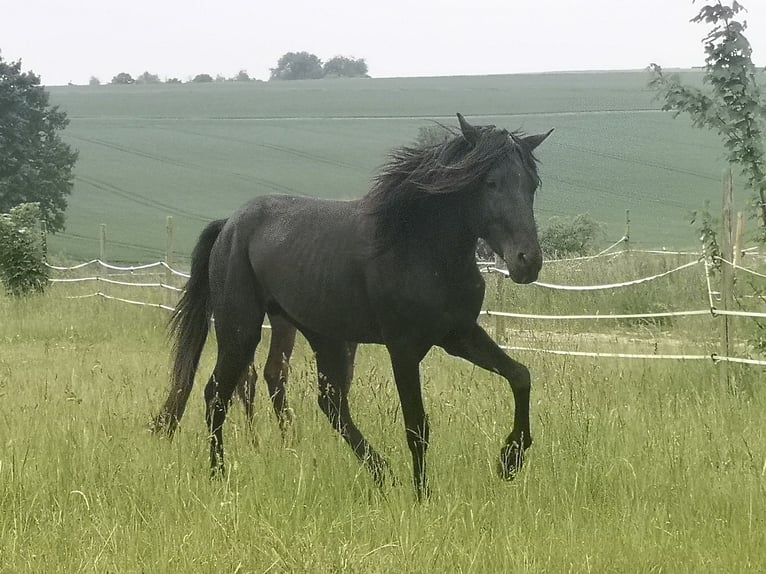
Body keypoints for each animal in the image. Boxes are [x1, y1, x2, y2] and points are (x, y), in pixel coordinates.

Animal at [152, 114, 553, 499]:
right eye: (491, 183)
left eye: (532, 184)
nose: (527, 262)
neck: (419, 249)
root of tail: (230, 226)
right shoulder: (403, 348)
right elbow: (417, 425)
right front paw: (423, 496)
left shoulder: (459, 335)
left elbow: (520, 376)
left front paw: (510, 459)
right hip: (241, 331)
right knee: (216, 396)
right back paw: (219, 476)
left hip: (323, 336)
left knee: (330, 404)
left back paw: (382, 473)